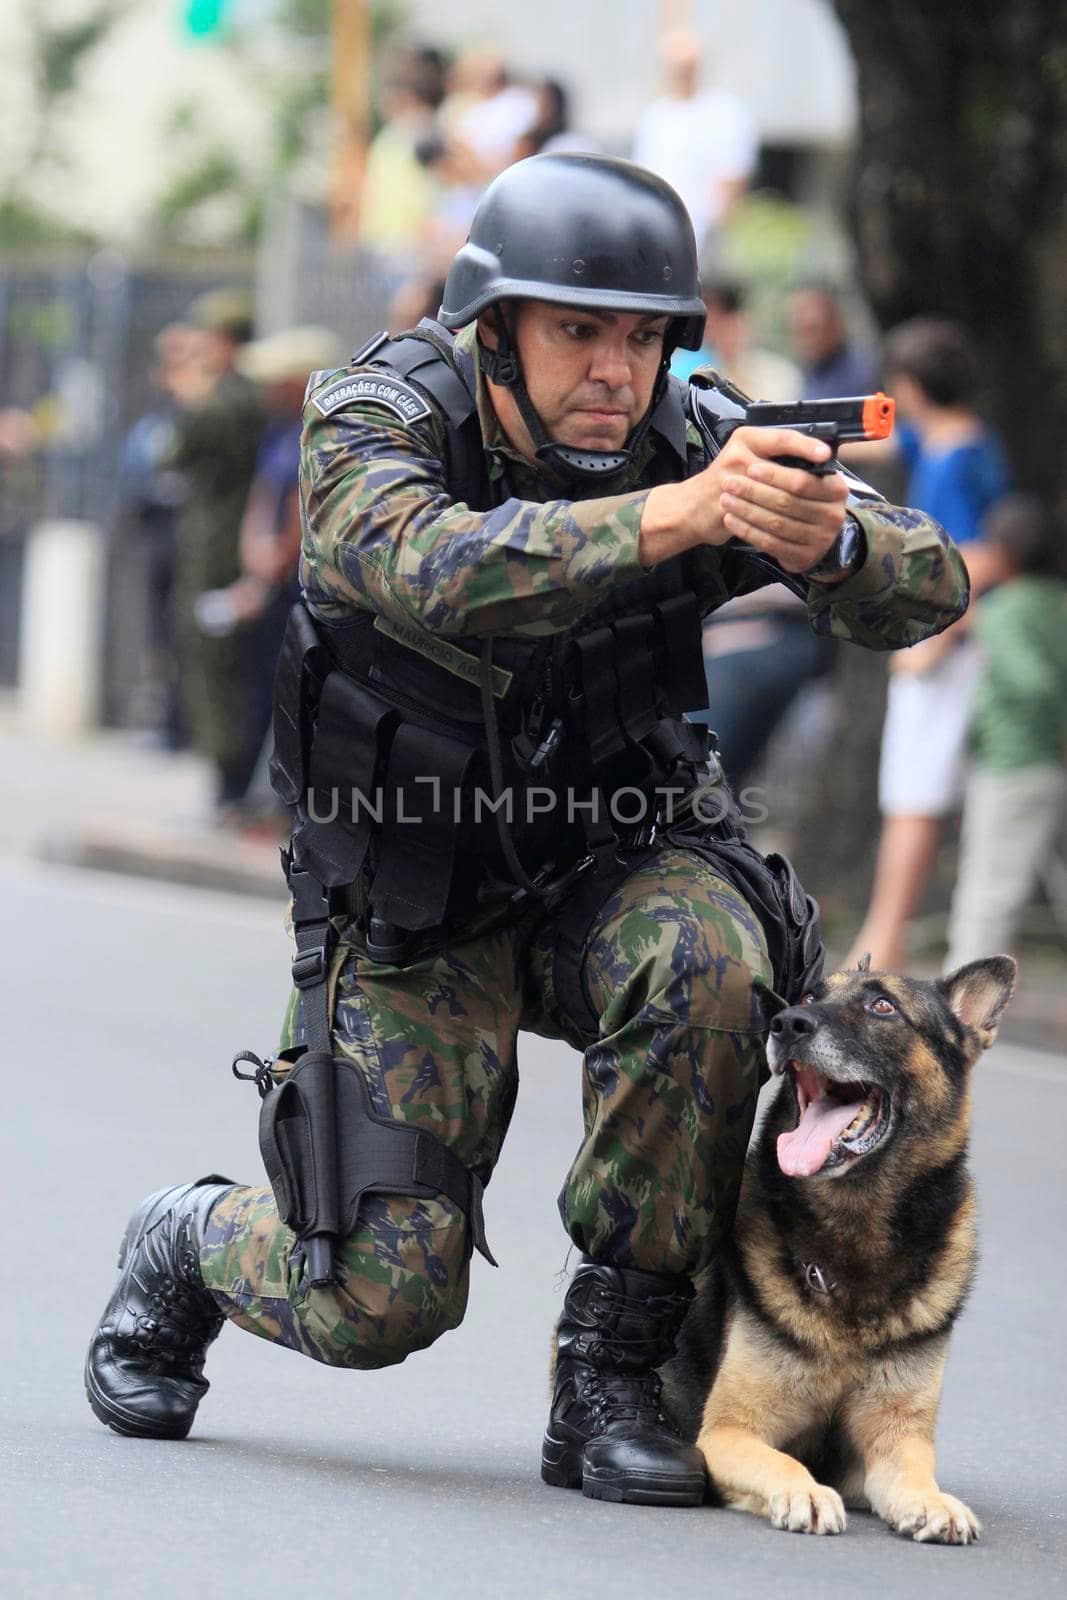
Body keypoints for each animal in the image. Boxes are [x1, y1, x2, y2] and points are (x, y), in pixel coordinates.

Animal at [659, 953, 1017, 1542]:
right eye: (807, 997)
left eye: (883, 1006)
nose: (786, 1024)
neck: (854, 1241)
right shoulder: (728, 1433)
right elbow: (783, 1460)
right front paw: (804, 1491)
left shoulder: (896, 1442)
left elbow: (914, 1474)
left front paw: (934, 1502)